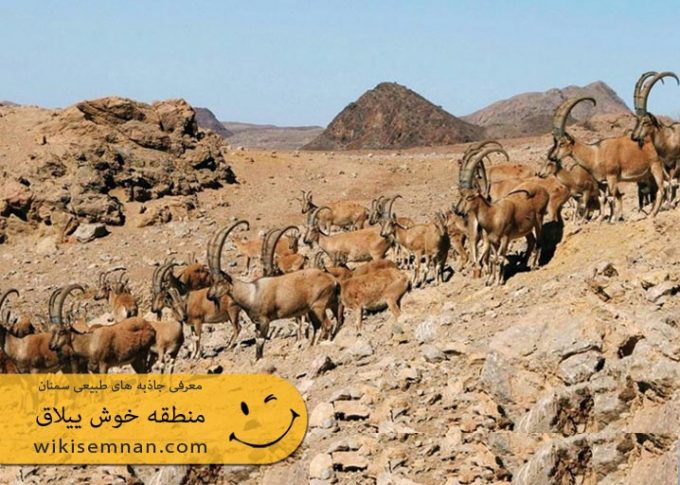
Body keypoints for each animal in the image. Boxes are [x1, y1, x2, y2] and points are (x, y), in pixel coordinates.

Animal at [206, 222, 343, 360]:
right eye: (212, 281)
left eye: (220, 281)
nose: (209, 296)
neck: (251, 293)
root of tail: (333, 281)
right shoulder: (257, 323)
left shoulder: (264, 321)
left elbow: (260, 344)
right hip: (328, 305)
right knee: (335, 322)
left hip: (318, 306)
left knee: (327, 325)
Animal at [631, 71, 680, 204]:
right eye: (637, 120)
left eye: (646, 121)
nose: (634, 136)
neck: (667, 141)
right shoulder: (664, 164)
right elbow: (668, 180)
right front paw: (667, 202)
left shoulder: (677, 161)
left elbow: (673, 180)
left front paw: (671, 201)